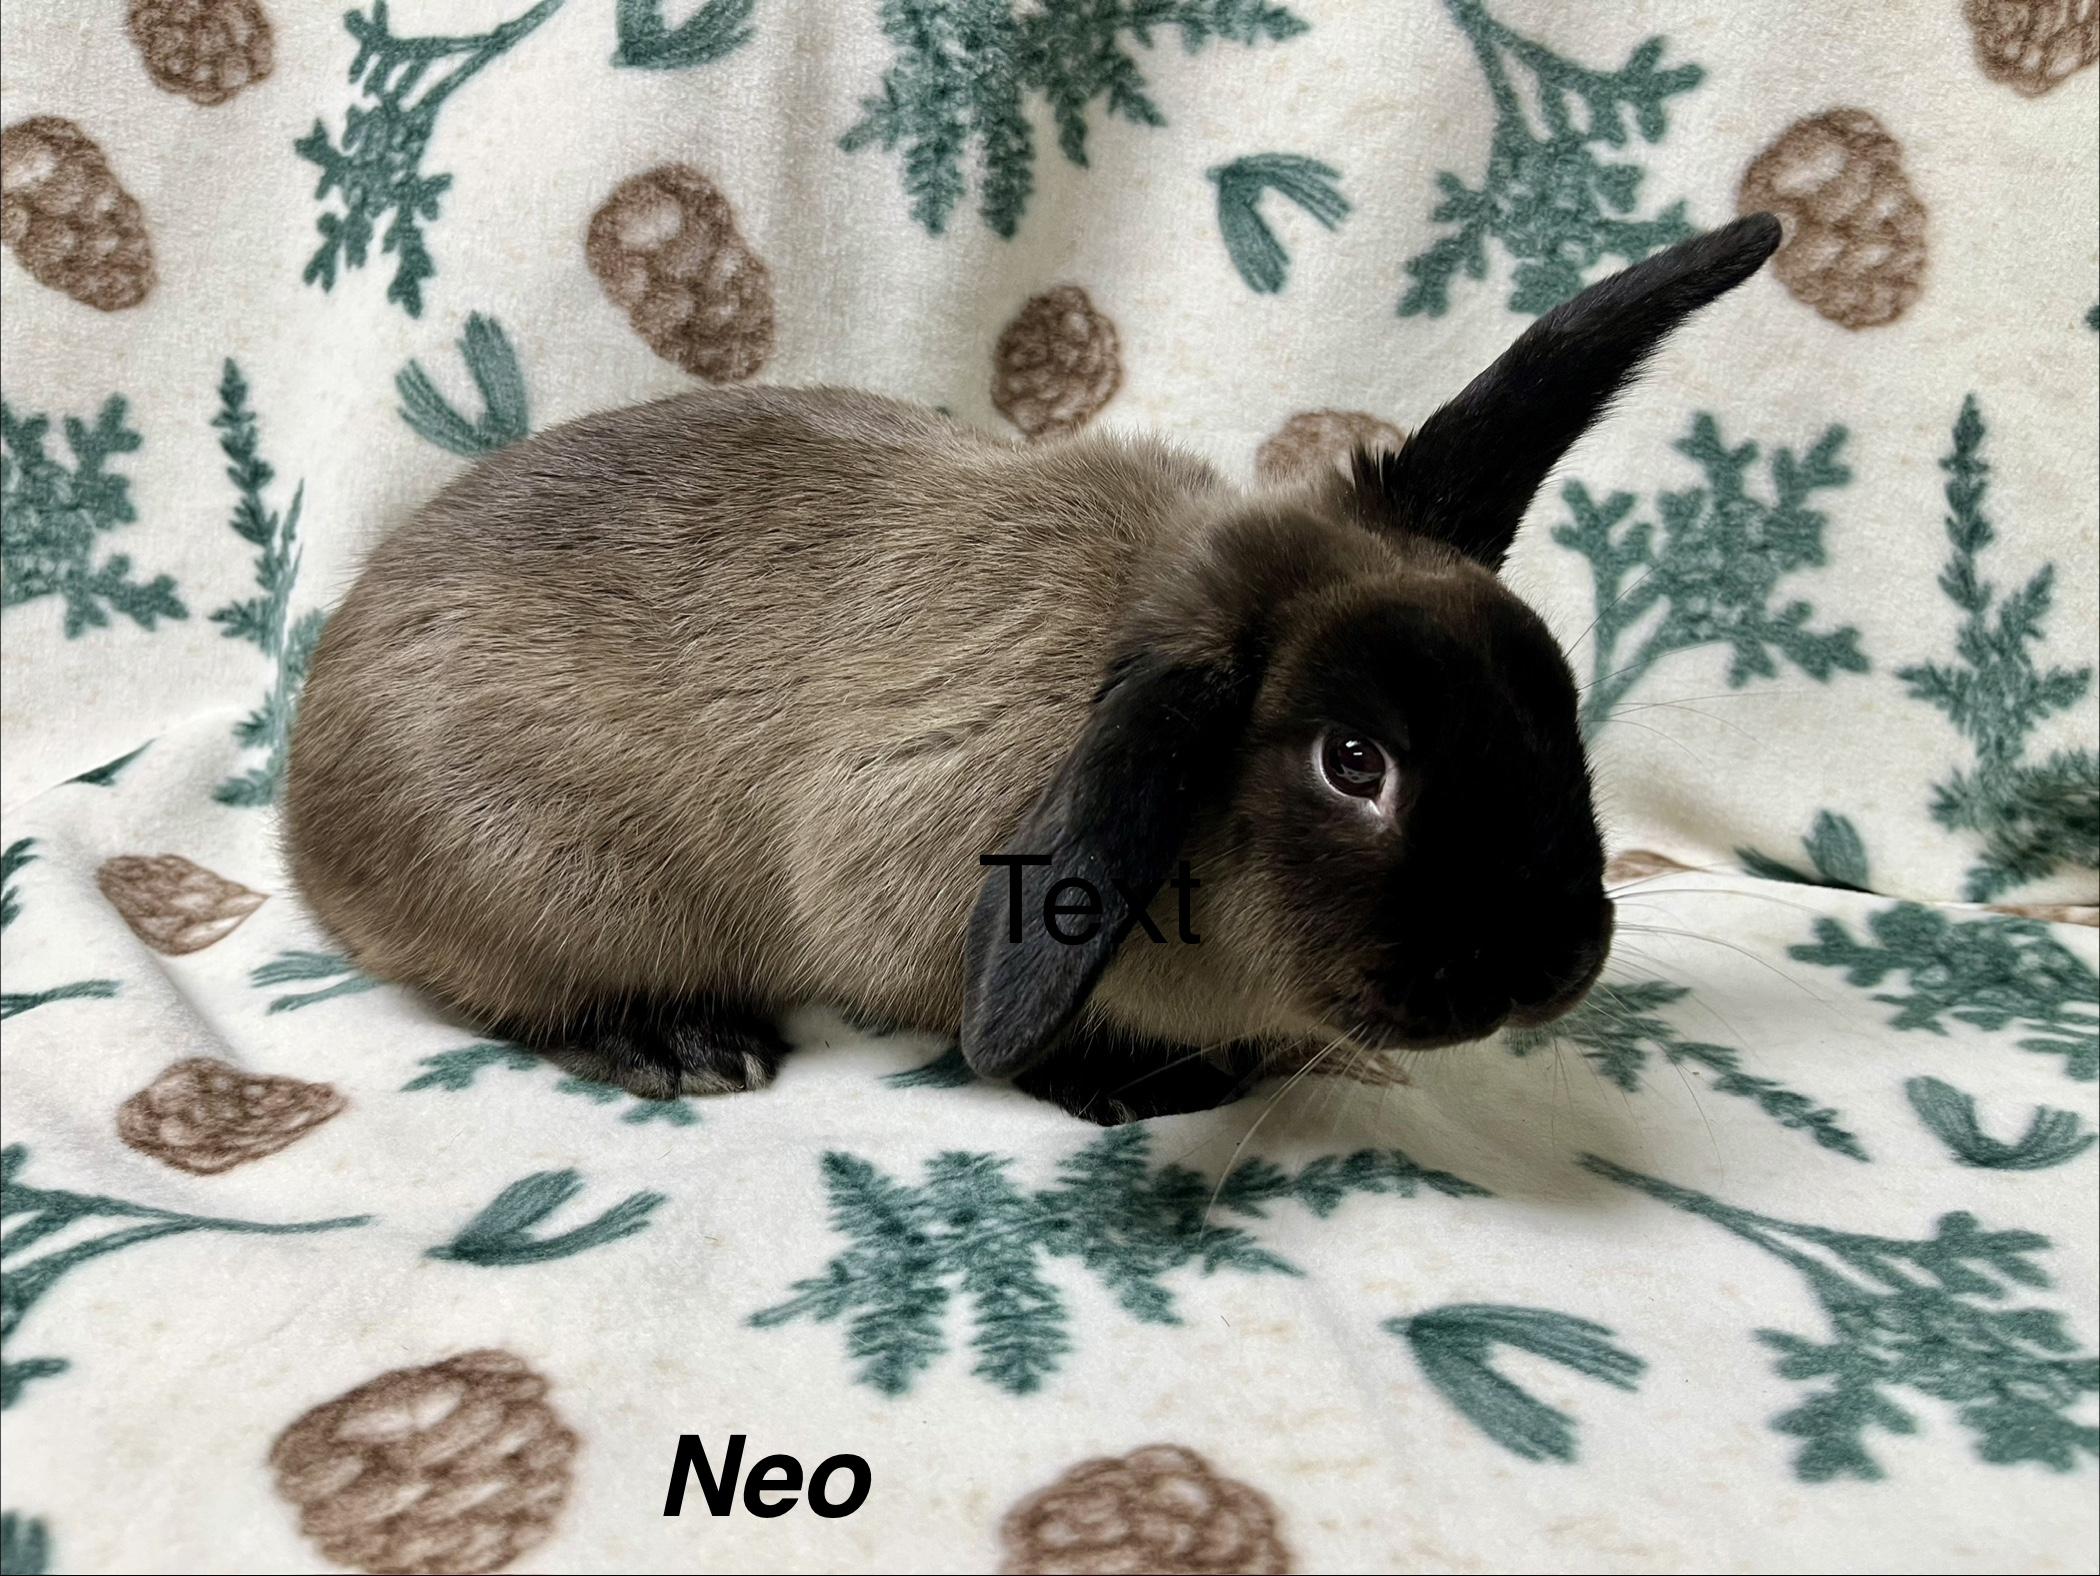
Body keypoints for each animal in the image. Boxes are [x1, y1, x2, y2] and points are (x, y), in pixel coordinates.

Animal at [283, 213, 1783, 1124]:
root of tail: (307, 811)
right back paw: (686, 1046)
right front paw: (1145, 1089)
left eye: (1554, 703)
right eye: (1354, 762)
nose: (1554, 967)